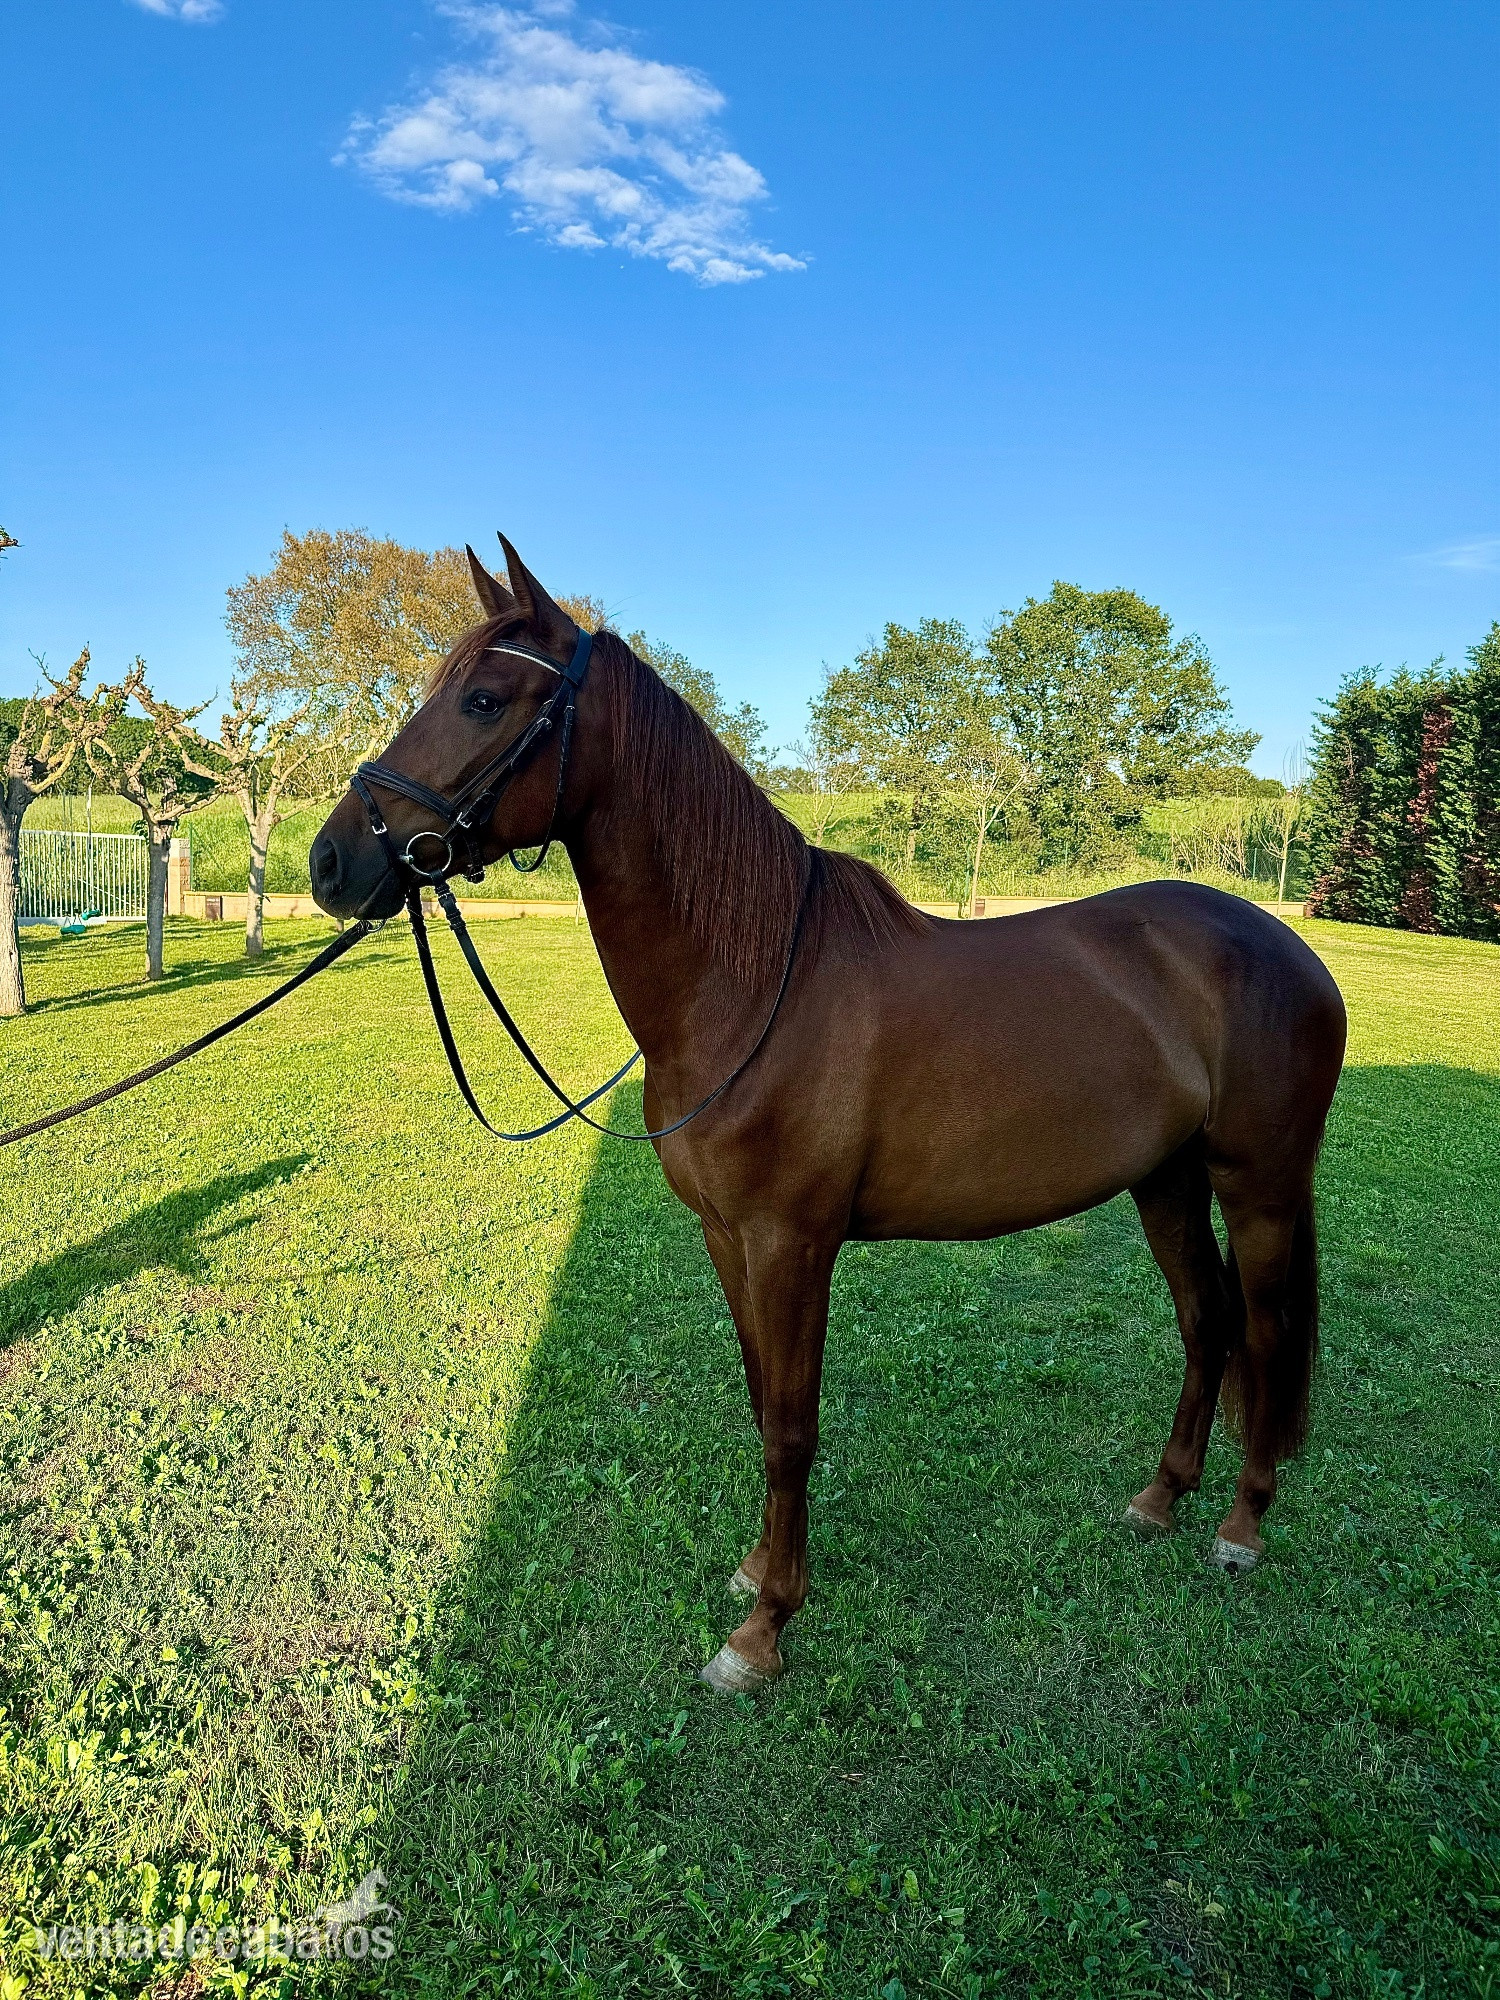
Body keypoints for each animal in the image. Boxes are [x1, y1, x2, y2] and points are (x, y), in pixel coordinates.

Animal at [310, 537, 1348, 1695]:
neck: (755, 978)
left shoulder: (792, 1242)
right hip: (1163, 1179)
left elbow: (792, 1429)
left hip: (1258, 1185)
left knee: (1263, 1329)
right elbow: (762, 1399)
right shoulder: (729, 1238)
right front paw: (758, 1569)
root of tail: (1288, 945)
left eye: (485, 698)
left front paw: (763, 1630)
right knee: (1207, 1321)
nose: (333, 862)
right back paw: (1160, 1498)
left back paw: (1240, 1527)